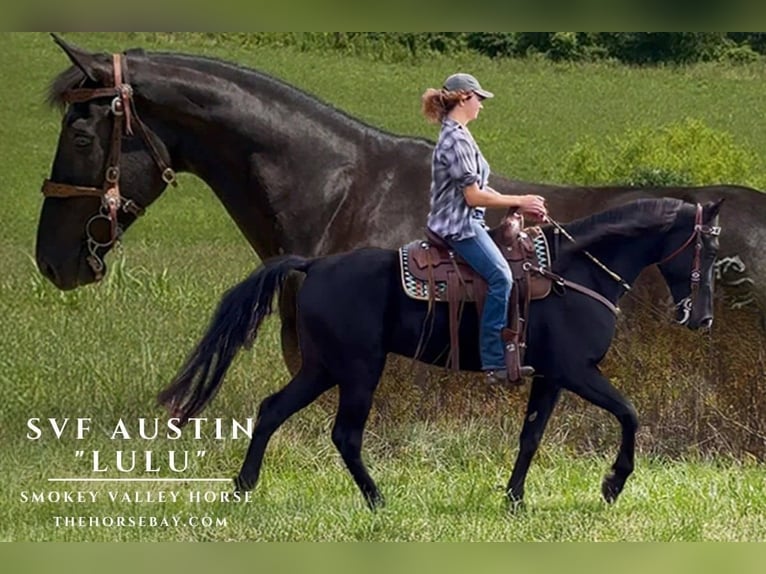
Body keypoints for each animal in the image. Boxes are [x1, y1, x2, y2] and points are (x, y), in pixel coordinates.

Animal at [157, 197, 723, 509]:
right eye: (709, 247)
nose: (703, 318)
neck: (578, 271)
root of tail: (314, 265)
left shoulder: (551, 377)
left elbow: (531, 437)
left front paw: (514, 500)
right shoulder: (578, 372)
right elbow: (629, 414)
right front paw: (612, 484)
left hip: (322, 368)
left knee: (272, 410)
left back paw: (243, 487)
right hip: (358, 369)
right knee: (345, 434)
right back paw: (377, 500)